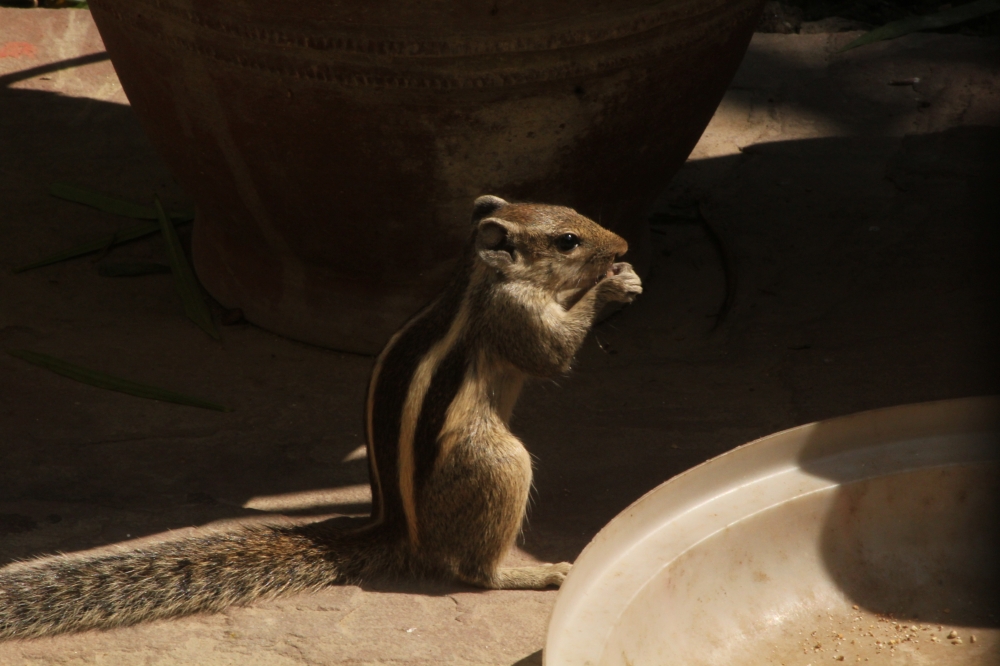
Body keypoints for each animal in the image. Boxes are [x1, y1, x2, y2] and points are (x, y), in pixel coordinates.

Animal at [0, 195, 642, 639]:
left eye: (578, 214)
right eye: (567, 240)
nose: (623, 245)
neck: (479, 279)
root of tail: (399, 530)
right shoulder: (515, 316)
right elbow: (551, 356)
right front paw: (611, 287)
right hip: (496, 462)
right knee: (470, 570)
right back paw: (530, 574)